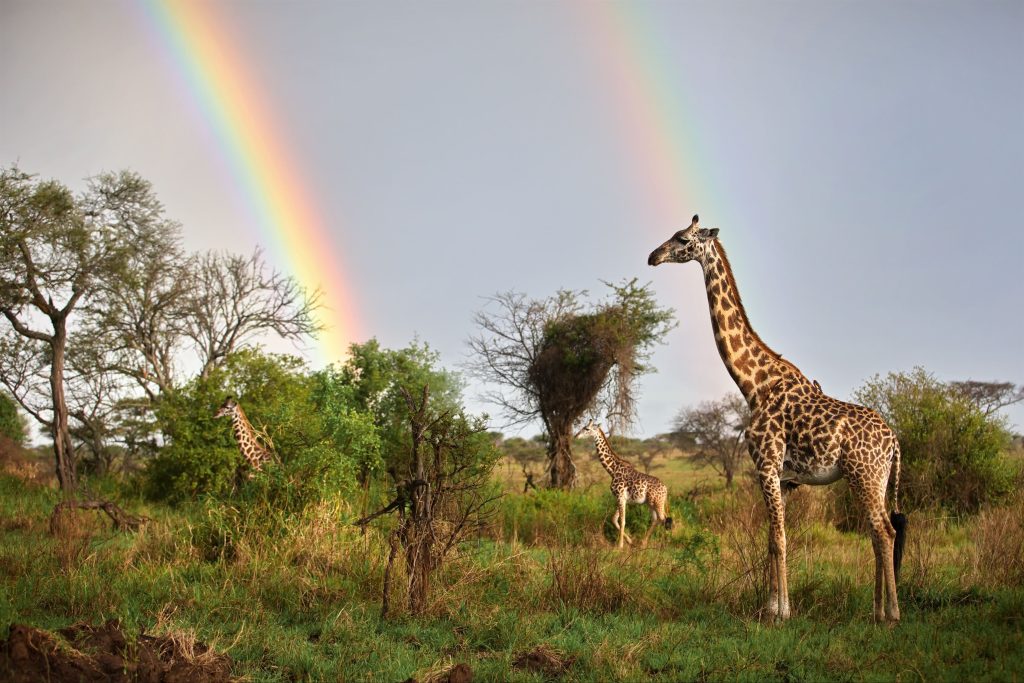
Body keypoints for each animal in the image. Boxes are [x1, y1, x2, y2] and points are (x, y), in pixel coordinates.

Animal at [577, 419, 673, 549]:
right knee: (657, 519)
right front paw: (630, 541)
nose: (576, 436)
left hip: (657, 502)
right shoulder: (622, 498)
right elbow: (614, 519)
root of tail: (665, 488)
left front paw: (620, 546)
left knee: (663, 518)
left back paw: (663, 544)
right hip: (651, 503)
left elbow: (622, 521)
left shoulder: (620, 496)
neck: (612, 470)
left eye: (586, 429)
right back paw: (643, 543)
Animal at [648, 215, 906, 624]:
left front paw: (782, 613)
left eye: (683, 239)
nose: (653, 256)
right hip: (875, 479)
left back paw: (892, 614)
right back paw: (878, 610)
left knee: (883, 531)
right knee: (880, 531)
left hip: (865, 475)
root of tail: (894, 440)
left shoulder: (766, 465)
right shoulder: (783, 478)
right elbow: (772, 539)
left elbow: (780, 538)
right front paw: (771, 607)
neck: (753, 384)